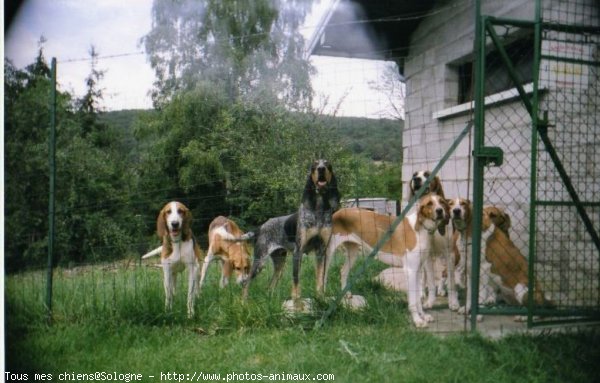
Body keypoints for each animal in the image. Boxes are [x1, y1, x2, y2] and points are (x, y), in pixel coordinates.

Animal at [241, 158, 340, 304]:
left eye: (327, 164)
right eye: (315, 164)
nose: (321, 169)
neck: (319, 210)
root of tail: (261, 227)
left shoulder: (321, 251)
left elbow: (320, 278)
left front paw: (320, 297)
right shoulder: (298, 252)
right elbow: (296, 278)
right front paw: (296, 300)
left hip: (280, 263)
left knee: (269, 286)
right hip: (260, 261)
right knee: (246, 282)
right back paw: (243, 302)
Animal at [326, 196, 452, 328]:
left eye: (441, 202)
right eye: (429, 203)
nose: (439, 211)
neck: (420, 229)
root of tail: (338, 212)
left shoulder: (417, 271)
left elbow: (418, 299)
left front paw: (423, 316)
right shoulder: (411, 271)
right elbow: (413, 301)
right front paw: (417, 320)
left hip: (353, 253)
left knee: (343, 271)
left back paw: (346, 294)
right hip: (328, 253)